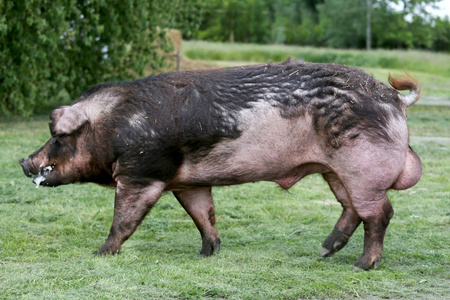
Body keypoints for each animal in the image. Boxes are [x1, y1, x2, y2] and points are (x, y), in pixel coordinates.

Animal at [19, 58, 422, 270]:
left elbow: (124, 219)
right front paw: (207, 253)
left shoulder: (142, 174)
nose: (25, 162)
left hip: (362, 168)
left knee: (380, 213)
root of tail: (395, 99)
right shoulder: (188, 182)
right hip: (335, 170)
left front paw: (100, 253)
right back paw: (323, 251)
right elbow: (203, 214)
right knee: (352, 209)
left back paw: (362, 265)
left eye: (59, 136)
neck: (112, 125)